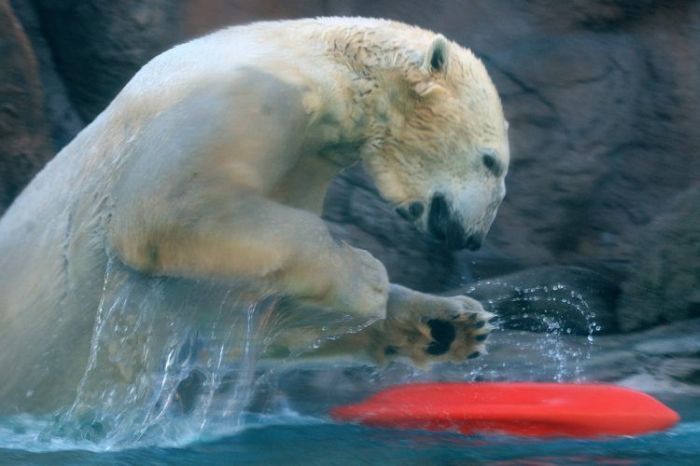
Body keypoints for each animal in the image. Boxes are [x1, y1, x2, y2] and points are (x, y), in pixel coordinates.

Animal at [0, 17, 508, 416]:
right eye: (492, 162)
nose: (474, 238)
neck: (324, 64)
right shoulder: (248, 93)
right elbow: (170, 207)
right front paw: (367, 278)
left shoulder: (303, 158)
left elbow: (246, 312)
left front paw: (452, 323)